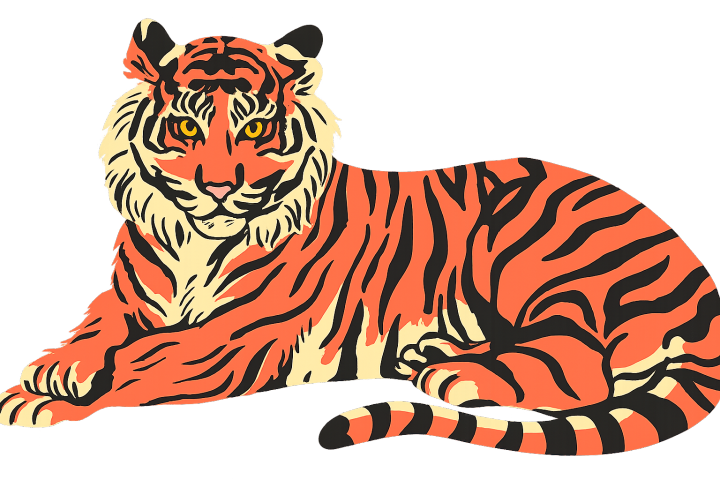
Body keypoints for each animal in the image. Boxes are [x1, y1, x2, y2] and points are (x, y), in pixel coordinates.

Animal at [1, 18, 718, 456]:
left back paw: (451, 374)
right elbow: (98, 324)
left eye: (255, 129)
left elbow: (137, 364)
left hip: (526, 248)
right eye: (184, 128)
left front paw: (37, 400)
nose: (220, 188)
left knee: (582, 365)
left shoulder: (227, 339)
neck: (192, 244)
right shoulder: (127, 296)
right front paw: (57, 364)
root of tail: (697, 271)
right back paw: (430, 353)